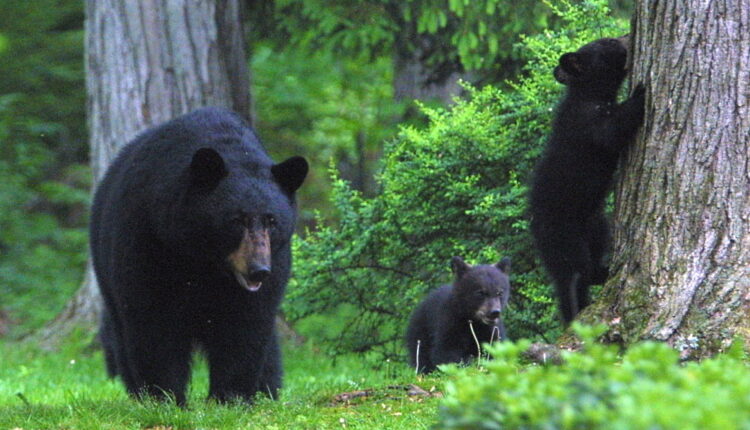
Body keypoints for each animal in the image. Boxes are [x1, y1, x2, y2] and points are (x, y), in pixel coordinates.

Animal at [90, 107, 308, 405]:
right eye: (237, 220)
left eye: (271, 220)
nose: (258, 269)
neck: (204, 260)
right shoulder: (148, 239)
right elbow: (154, 322)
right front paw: (165, 396)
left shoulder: (272, 267)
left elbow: (244, 325)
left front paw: (231, 396)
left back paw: (268, 389)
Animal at [529, 36, 645, 324]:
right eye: (607, 43)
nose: (627, 37)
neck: (591, 95)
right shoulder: (586, 122)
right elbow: (612, 130)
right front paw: (640, 94)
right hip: (564, 236)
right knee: (575, 273)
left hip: (596, 224)